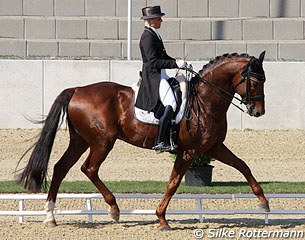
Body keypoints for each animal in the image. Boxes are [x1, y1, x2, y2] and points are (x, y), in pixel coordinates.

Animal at [17, 52, 268, 229]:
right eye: (256, 82)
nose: (258, 112)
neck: (206, 100)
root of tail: (77, 89)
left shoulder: (213, 147)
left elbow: (243, 165)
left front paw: (264, 203)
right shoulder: (189, 151)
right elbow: (173, 183)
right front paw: (162, 219)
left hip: (80, 141)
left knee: (61, 168)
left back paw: (50, 215)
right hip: (102, 141)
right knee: (89, 168)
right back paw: (114, 208)